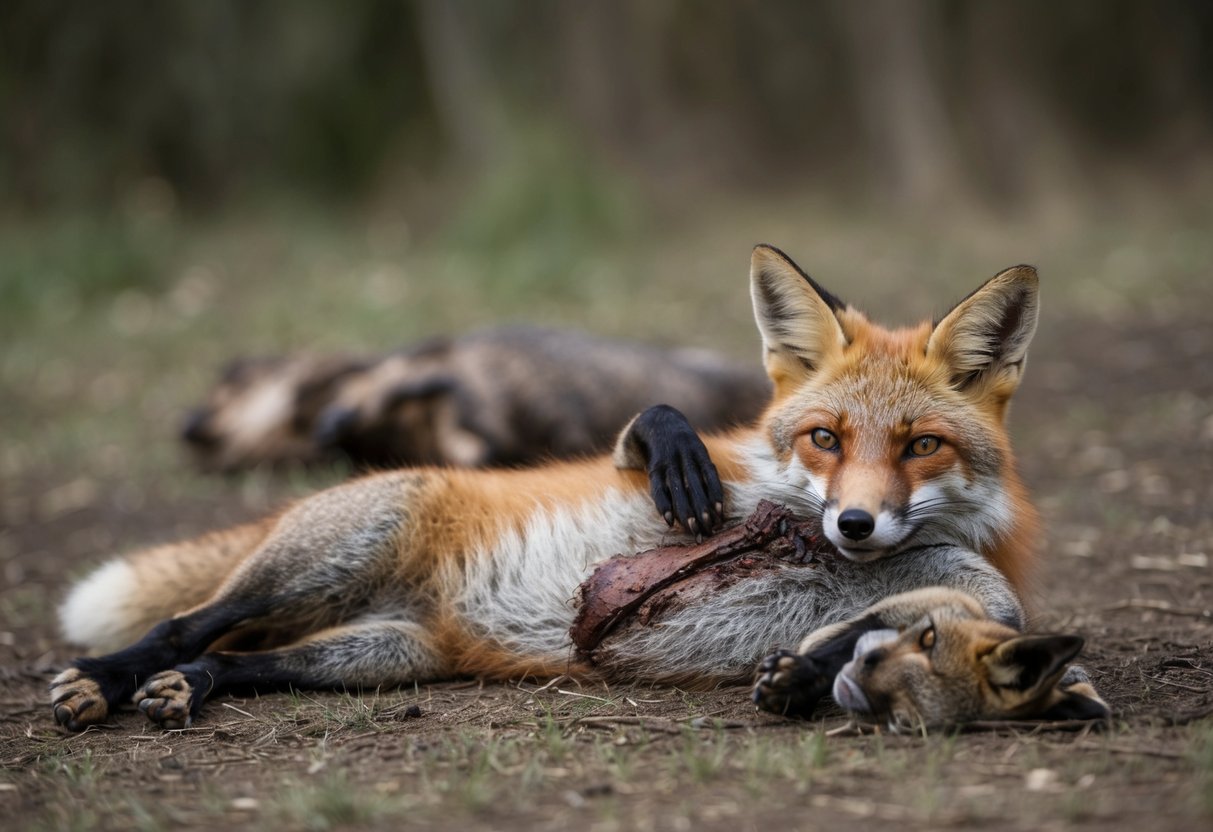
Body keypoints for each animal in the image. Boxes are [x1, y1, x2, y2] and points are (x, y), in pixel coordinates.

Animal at [52, 245, 1052, 732]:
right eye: (823, 439)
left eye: (921, 446)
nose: (853, 522)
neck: (803, 537)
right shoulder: (713, 471)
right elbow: (643, 438)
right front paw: (670, 443)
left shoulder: (975, 583)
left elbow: (925, 618)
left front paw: (806, 671)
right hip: (330, 556)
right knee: (184, 626)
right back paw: (103, 681)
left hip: (377, 655)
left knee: (233, 660)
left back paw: (184, 690)